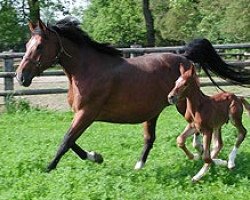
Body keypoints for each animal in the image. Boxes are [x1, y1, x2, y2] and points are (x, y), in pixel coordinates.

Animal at [16, 18, 250, 173]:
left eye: (39, 46)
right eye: (27, 45)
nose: (21, 76)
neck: (86, 70)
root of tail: (184, 57)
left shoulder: (87, 113)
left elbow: (66, 141)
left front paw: (48, 168)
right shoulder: (81, 114)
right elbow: (71, 141)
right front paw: (96, 157)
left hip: (181, 102)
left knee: (196, 120)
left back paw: (209, 155)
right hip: (156, 110)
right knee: (152, 138)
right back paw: (143, 164)